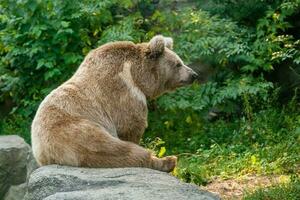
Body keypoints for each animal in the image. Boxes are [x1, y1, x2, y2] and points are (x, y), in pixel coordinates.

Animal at [31, 34, 198, 172]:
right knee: (118, 150)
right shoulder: (123, 92)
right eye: (178, 64)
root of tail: (44, 151)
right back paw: (168, 161)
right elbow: (130, 125)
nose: (194, 75)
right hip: (78, 133)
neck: (137, 76)